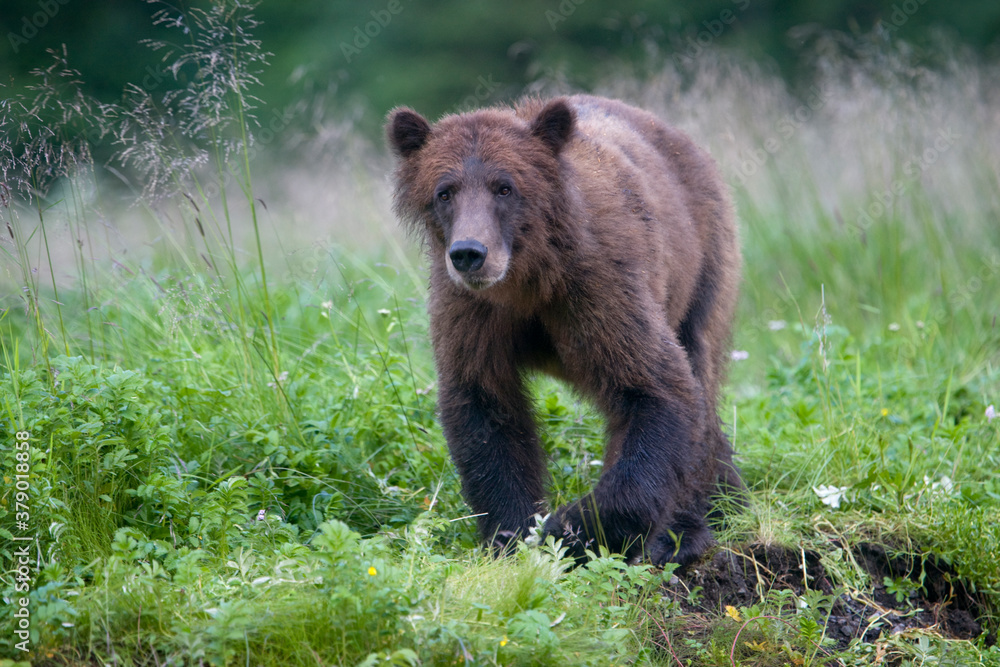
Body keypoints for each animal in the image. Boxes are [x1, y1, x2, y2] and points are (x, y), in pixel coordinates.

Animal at [388, 94, 744, 564]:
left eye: (505, 187)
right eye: (444, 191)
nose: (469, 253)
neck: (528, 281)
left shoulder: (598, 285)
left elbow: (656, 387)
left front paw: (569, 529)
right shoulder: (472, 311)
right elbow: (485, 407)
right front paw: (512, 533)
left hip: (702, 259)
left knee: (699, 366)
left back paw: (693, 524)